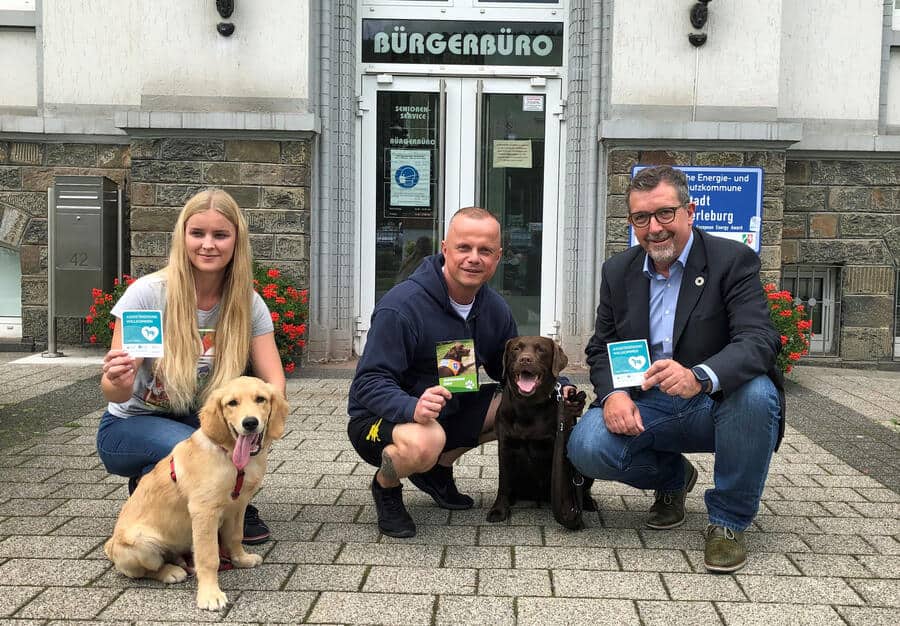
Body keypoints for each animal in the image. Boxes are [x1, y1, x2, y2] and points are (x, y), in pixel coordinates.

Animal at [105, 376, 288, 608]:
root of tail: (109, 546)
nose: (250, 423)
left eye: (260, 399)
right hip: (141, 544)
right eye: (232, 403)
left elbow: (235, 536)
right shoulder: (204, 512)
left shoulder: (238, 507)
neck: (231, 459)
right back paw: (171, 572)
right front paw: (210, 594)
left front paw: (241, 559)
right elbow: (209, 557)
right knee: (145, 571)